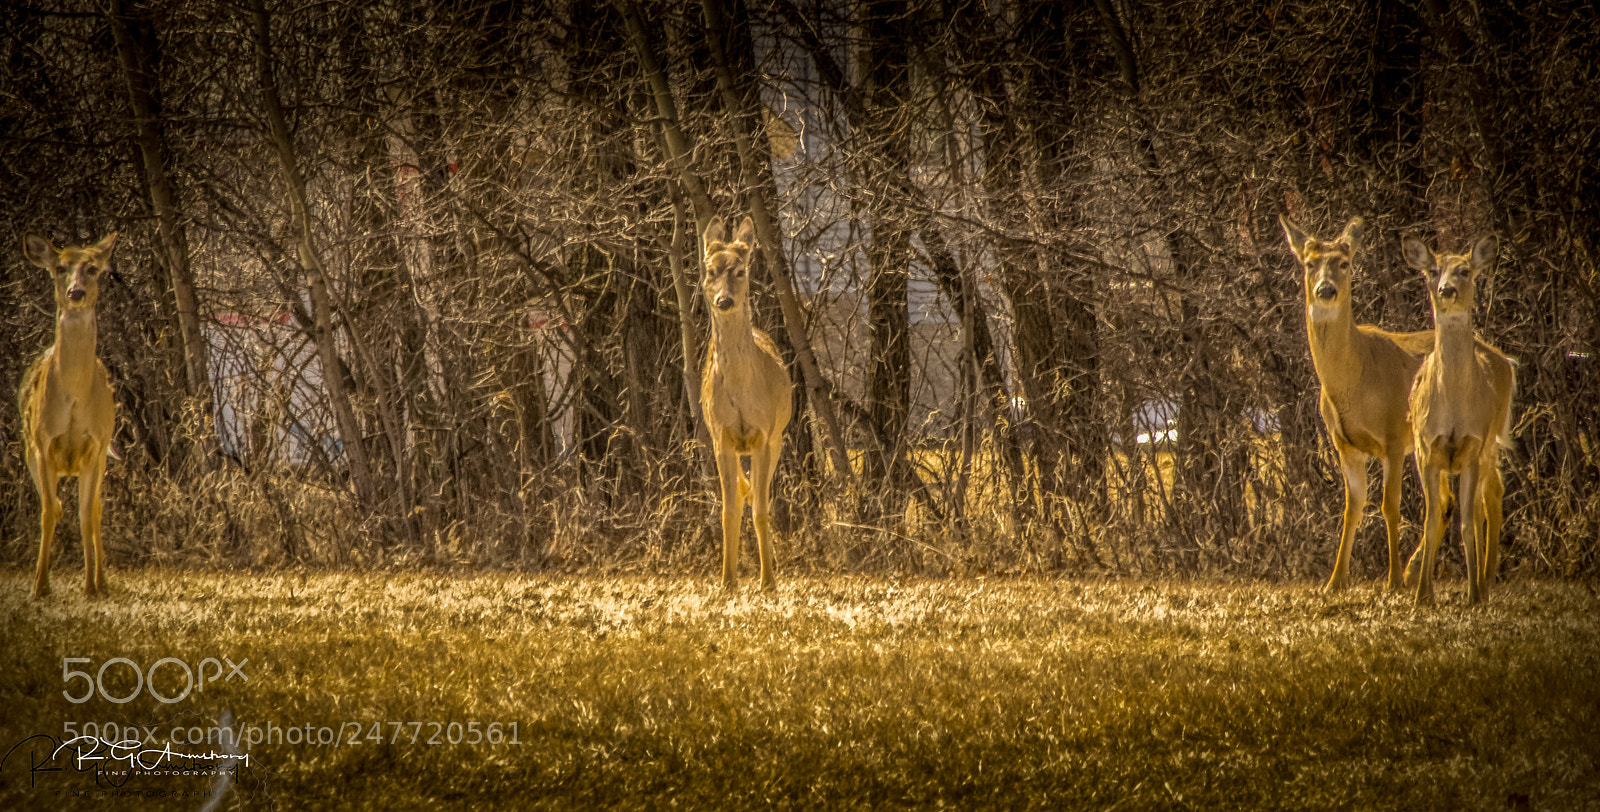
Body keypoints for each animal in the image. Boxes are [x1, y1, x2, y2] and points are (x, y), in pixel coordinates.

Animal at [18, 232, 119, 599]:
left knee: (97, 510)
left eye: (92, 268)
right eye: (60, 268)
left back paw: (102, 580)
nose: (76, 293)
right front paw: (39, 586)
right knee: (58, 506)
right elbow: (49, 513)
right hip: (29, 453)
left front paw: (90, 586)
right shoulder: (42, 444)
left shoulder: (96, 446)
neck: (75, 397)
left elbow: (87, 516)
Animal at [1402, 233, 1515, 606]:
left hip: (1491, 442)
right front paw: (1423, 594)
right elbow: (1432, 519)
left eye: (1465, 270)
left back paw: (1485, 580)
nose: (1446, 289)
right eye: (1433, 270)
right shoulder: (1426, 449)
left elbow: (1465, 521)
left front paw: (1473, 595)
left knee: (1487, 501)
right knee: (1480, 503)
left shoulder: (1473, 446)